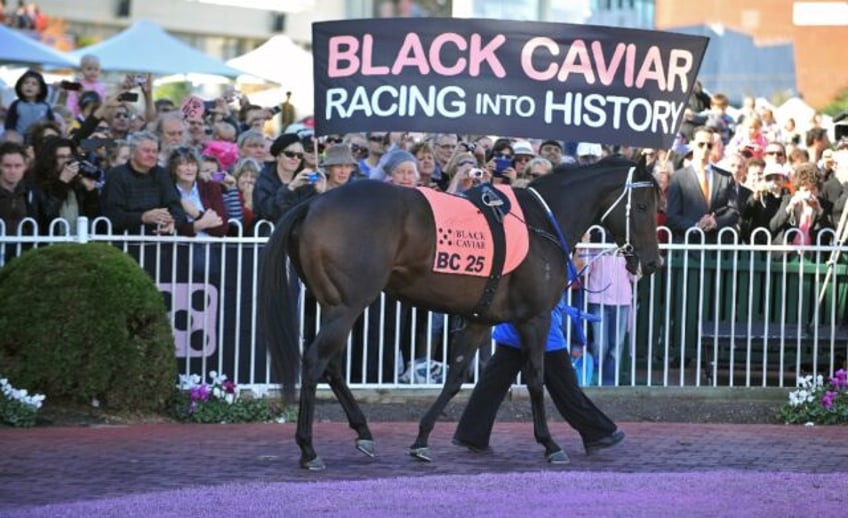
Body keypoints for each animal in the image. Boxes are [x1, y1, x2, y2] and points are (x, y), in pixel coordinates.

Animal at [258, 157, 664, 472]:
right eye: (644, 206)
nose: (653, 262)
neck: (542, 222)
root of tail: (311, 205)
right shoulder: (534, 318)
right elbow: (536, 378)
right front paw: (550, 444)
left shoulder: (481, 319)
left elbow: (455, 378)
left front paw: (422, 439)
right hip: (348, 306)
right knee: (315, 362)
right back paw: (309, 449)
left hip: (330, 305)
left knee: (331, 366)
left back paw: (363, 433)